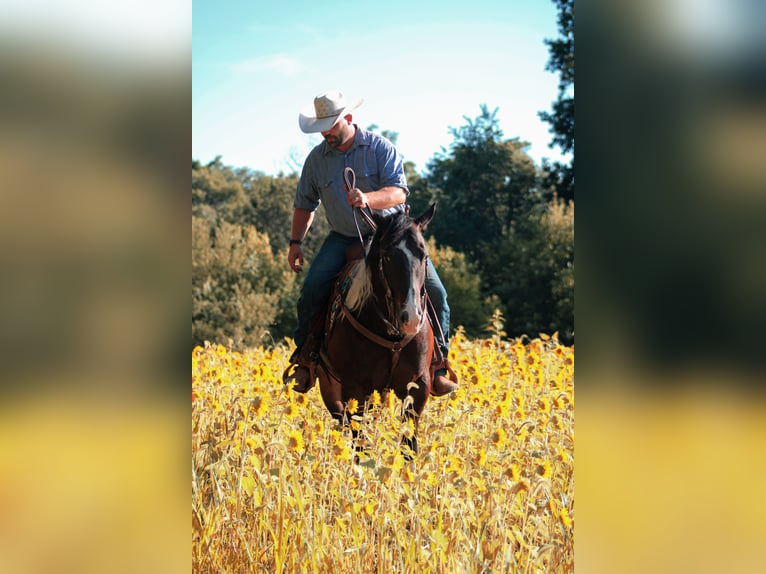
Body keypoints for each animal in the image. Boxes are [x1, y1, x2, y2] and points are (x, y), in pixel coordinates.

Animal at [318, 205, 438, 456]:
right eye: (387, 256)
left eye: (424, 256)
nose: (411, 317)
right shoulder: (354, 388)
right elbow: (360, 442)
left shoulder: (419, 386)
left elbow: (409, 444)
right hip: (331, 388)